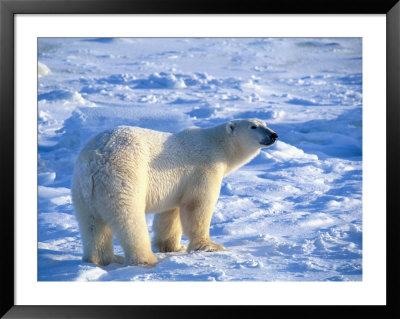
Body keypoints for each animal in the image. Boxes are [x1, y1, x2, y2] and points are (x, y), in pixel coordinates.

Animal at [71, 119, 278, 266]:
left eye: (265, 123)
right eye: (254, 126)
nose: (274, 135)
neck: (217, 145)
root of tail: (96, 160)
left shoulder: (177, 185)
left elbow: (170, 214)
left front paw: (172, 247)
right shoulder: (203, 169)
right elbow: (198, 206)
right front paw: (211, 246)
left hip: (83, 191)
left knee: (92, 224)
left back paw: (104, 259)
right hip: (125, 177)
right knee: (129, 219)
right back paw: (145, 259)